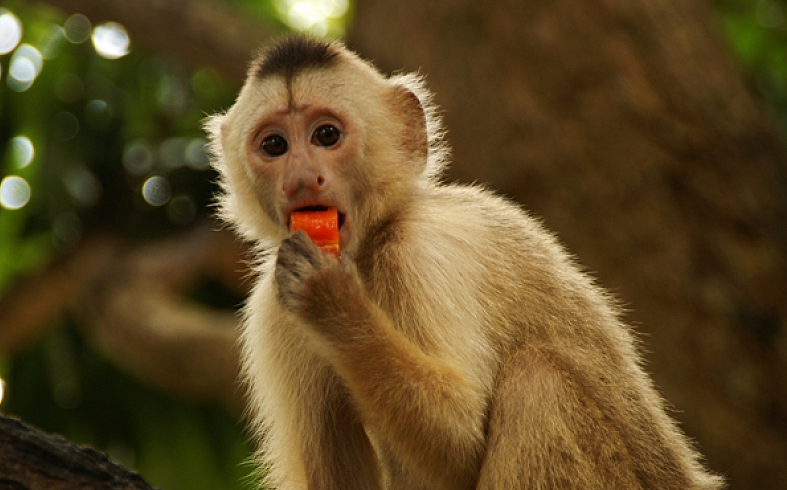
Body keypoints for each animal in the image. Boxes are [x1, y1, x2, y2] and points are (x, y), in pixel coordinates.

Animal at [205, 35, 728, 490]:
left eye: (327, 135)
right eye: (275, 146)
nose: (300, 180)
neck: (369, 246)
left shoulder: (421, 249)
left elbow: (461, 443)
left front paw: (334, 305)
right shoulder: (272, 310)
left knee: (537, 383)